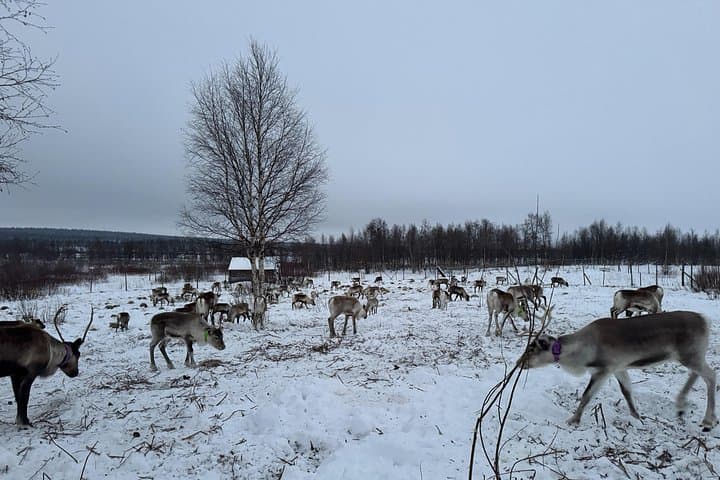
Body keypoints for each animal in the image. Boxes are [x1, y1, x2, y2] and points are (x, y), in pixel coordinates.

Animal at [518, 311, 717, 431]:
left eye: (531, 349)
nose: (519, 362)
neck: (582, 353)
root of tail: (705, 319)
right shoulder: (619, 368)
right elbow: (627, 392)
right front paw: (637, 416)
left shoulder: (604, 369)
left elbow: (586, 395)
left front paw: (573, 420)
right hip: (691, 356)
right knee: (697, 374)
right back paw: (682, 406)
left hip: (690, 354)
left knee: (711, 375)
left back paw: (708, 420)